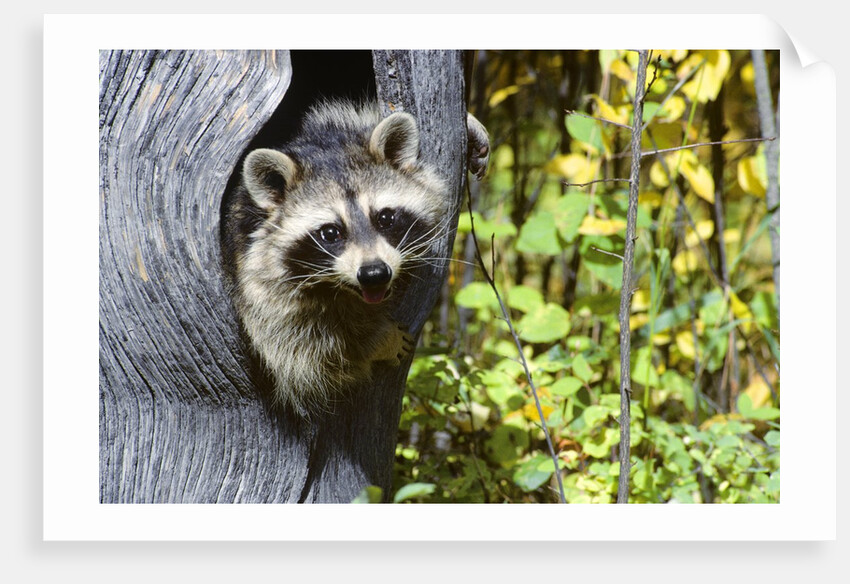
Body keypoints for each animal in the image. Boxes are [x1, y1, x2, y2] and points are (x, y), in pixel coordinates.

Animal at [221, 100, 489, 414]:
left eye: (385, 218)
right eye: (330, 233)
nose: (374, 273)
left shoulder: (338, 123)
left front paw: (470, 123)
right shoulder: (253, 276)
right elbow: (304, 354)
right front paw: (374, 341)